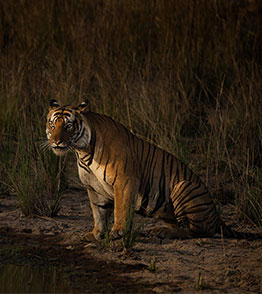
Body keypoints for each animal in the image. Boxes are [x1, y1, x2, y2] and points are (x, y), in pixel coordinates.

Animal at [46, 100, 262, 240]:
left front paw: (118, 231)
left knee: (195, 231)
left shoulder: (125, 180)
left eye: (69, 125)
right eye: (53, 124)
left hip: (183, 186)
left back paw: (162, 232)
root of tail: (217, 216)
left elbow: (121, 208)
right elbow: (98, 212)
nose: (56, 141)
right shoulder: (93, 188)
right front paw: (95, 234)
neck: (82, 151)